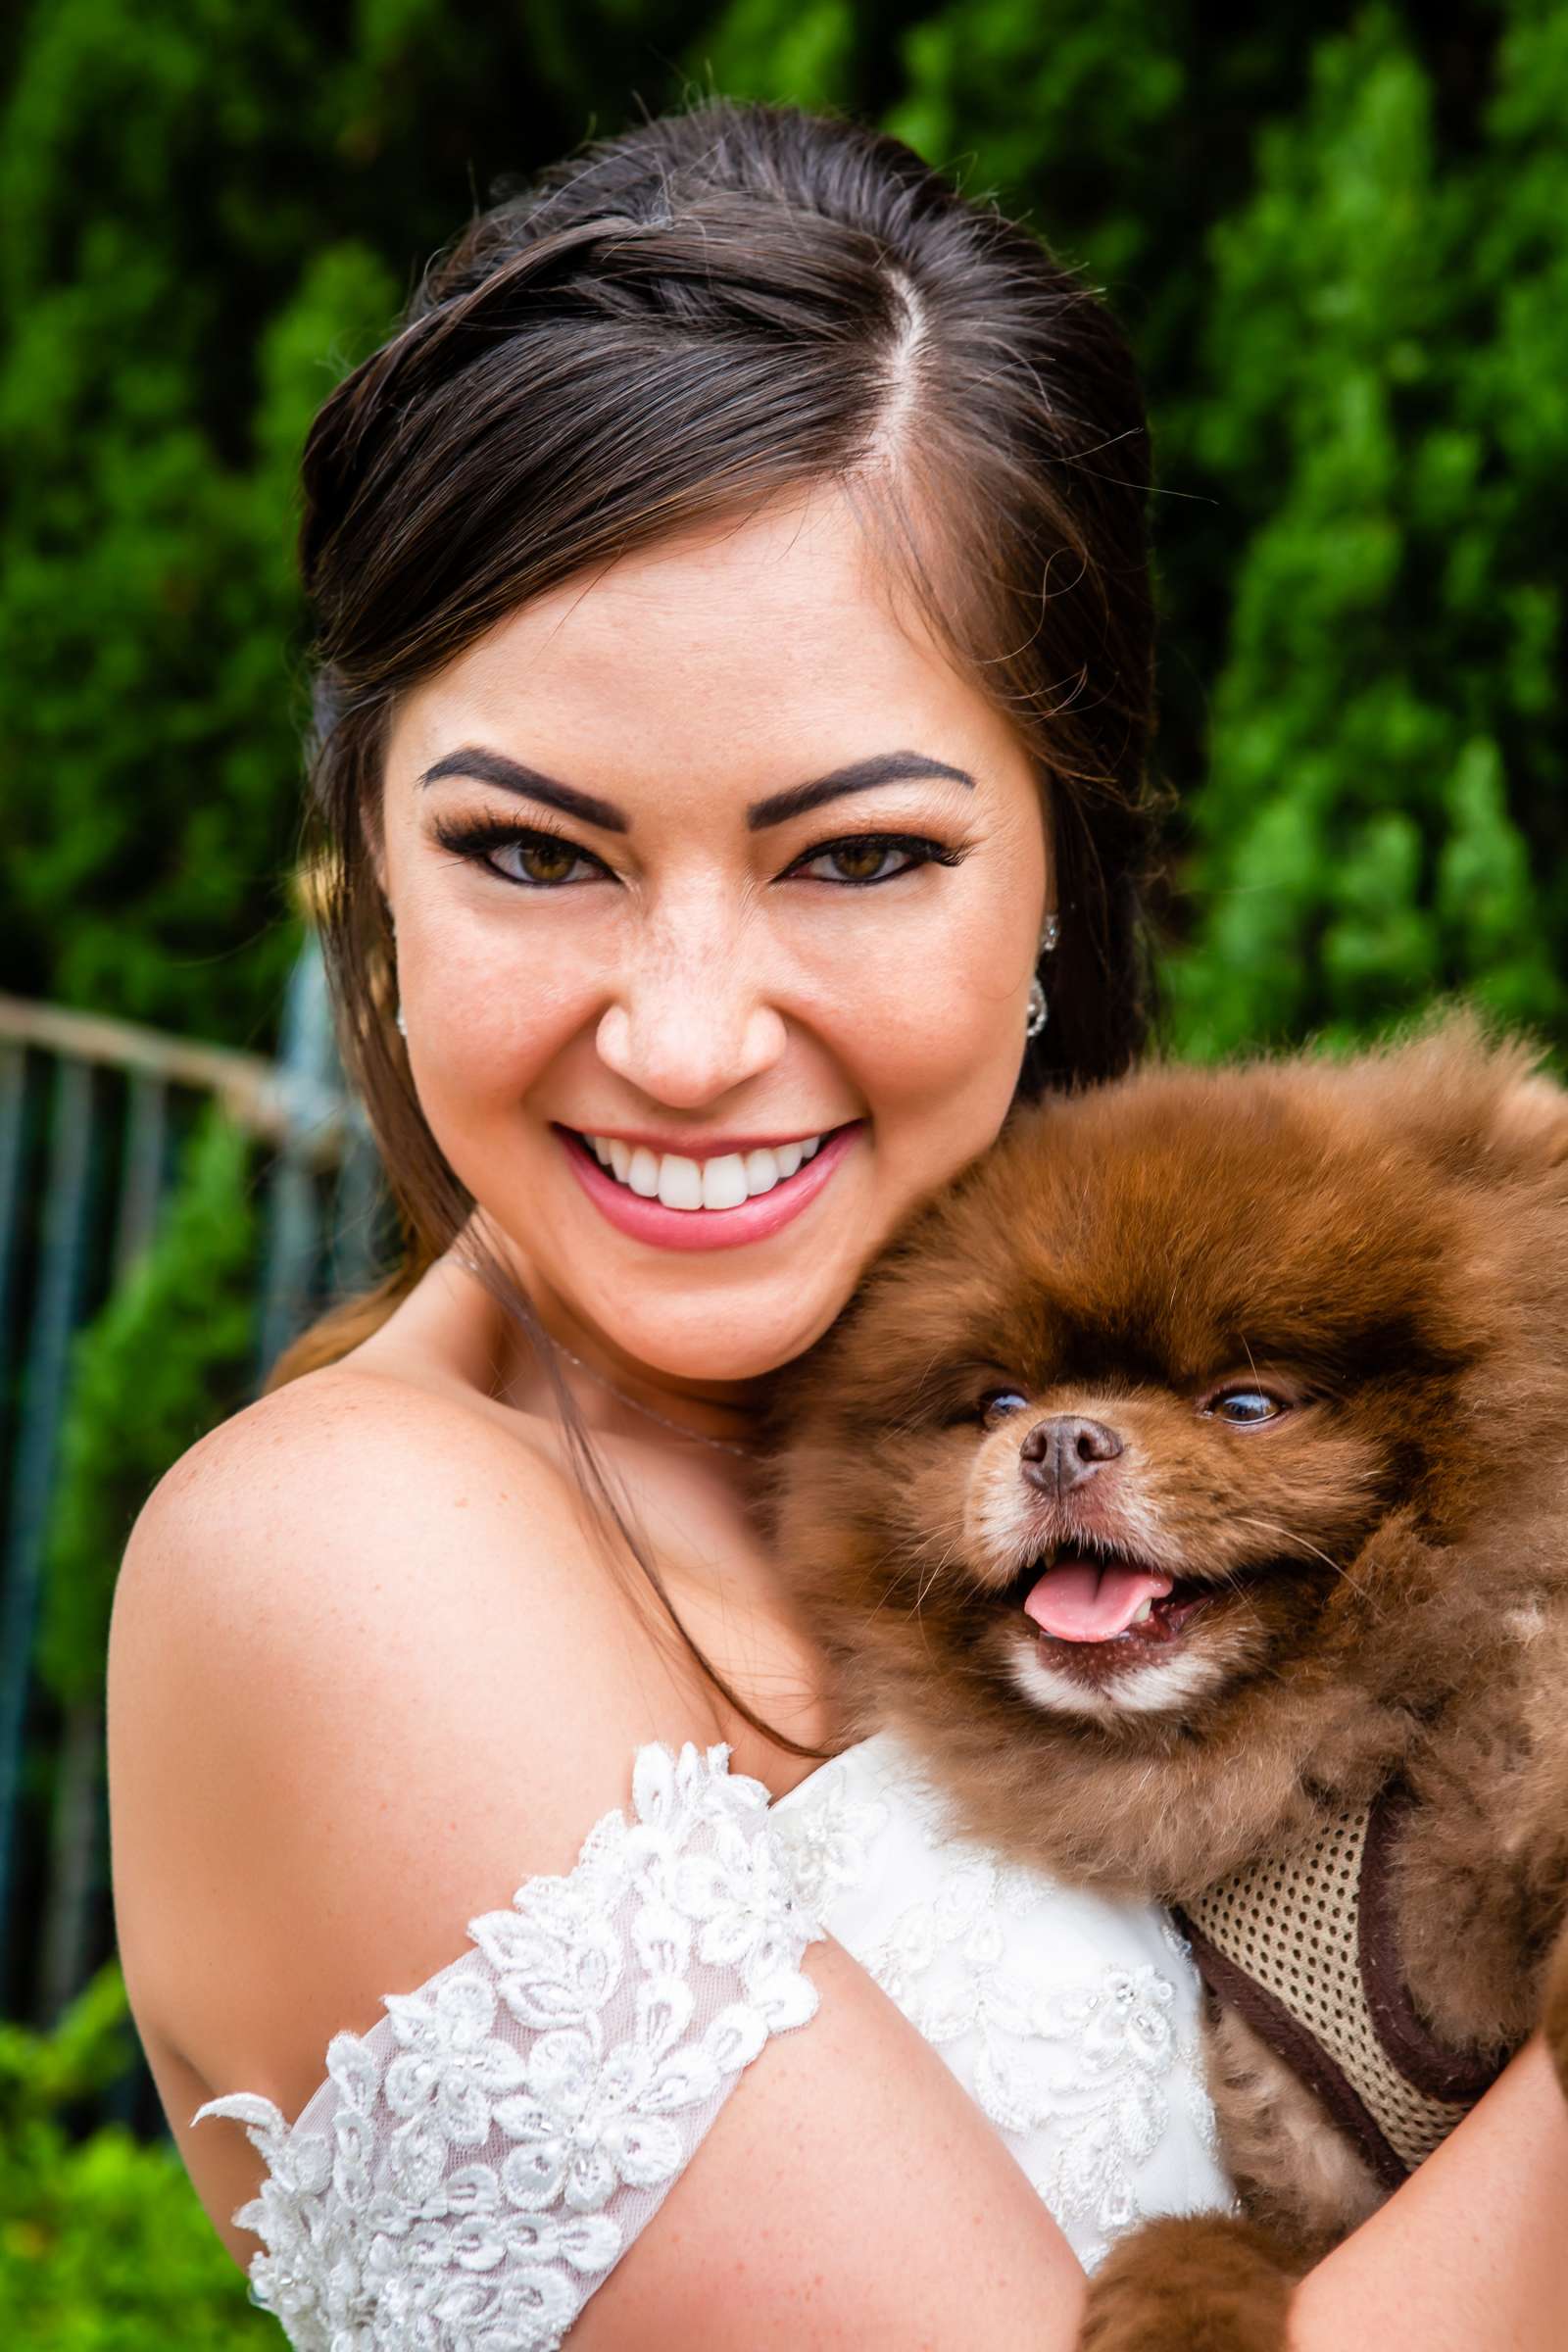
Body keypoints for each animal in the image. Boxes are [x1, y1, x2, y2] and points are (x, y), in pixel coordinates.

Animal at [766, 1015, 1568, 2352]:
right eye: (998, 1400)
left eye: (1244, 1404)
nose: (1058, 1439)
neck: (1326, 1751)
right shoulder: (1306, 2157)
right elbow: (1211, 2243)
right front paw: (1171, 2310)